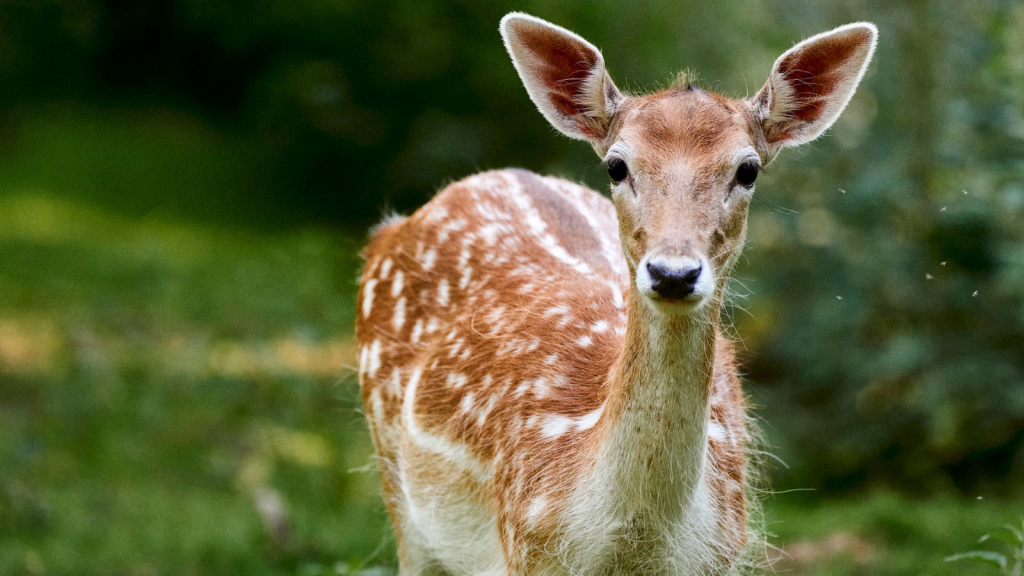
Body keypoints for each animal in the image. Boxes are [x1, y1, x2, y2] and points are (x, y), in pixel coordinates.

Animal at [356, 13, 876, 573]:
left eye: (748, 169)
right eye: (617, 165)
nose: (673, 272)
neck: (633, 540)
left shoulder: (723, 548)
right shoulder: (523, 541)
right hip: (396, 480)